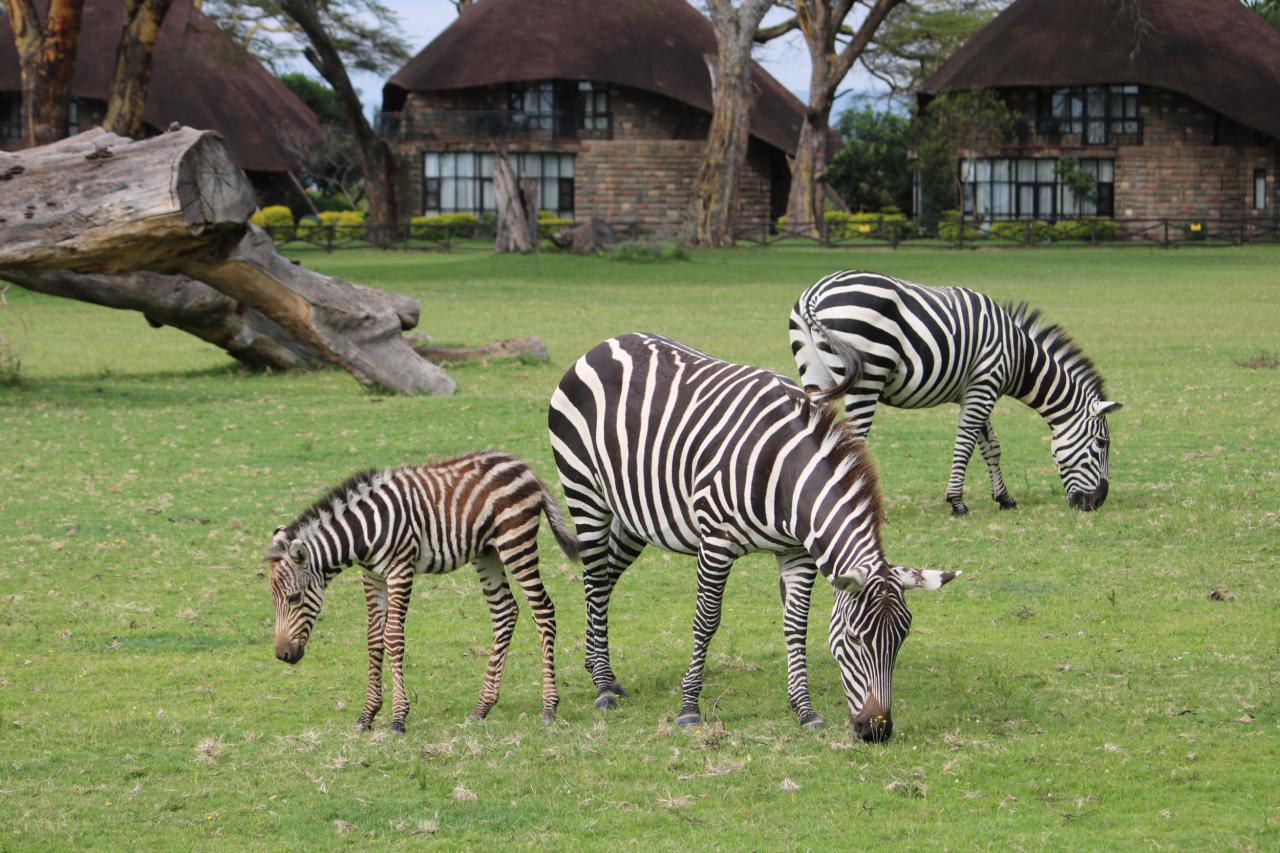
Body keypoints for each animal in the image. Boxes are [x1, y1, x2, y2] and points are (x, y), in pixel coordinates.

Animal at [264, 450, 576, 732]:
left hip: (516, 541)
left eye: (295, 597)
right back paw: (481, 707)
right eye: (273, 601)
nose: (282, 655)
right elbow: (373, 639)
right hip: (486, 552)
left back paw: (549, 707)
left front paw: (398, 718)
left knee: (543, 609)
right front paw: (367, 715)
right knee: (505, 612)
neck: (363, 533)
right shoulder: (371, 576)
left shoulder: (400, 569)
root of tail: (522, 465)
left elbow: (392, 637)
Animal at [545, 330, 957, 737]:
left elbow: (796, 624)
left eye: (901, 638)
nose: (876, 731)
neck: (785, 476)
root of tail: (602, 345)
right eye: (853, 638)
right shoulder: (716, 542)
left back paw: (601, 671)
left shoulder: (797, 553)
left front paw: (804, 709)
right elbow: (707, 620)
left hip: (634, 515)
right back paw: (602, 686)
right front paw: (689, 708)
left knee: (604, 579)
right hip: (585, 492)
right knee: (595, 579)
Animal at [783, 270, 1126, 512]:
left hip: (815, 375)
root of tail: (815, 292)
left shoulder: (977, 389)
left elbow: (991, 446)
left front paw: (1004, 498)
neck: (1018, 357)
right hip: (867, 379)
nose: (1097, 503)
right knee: (852, 441)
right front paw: (957, 502)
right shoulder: (985, 384)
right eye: (1101, 445)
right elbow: (966, 443)